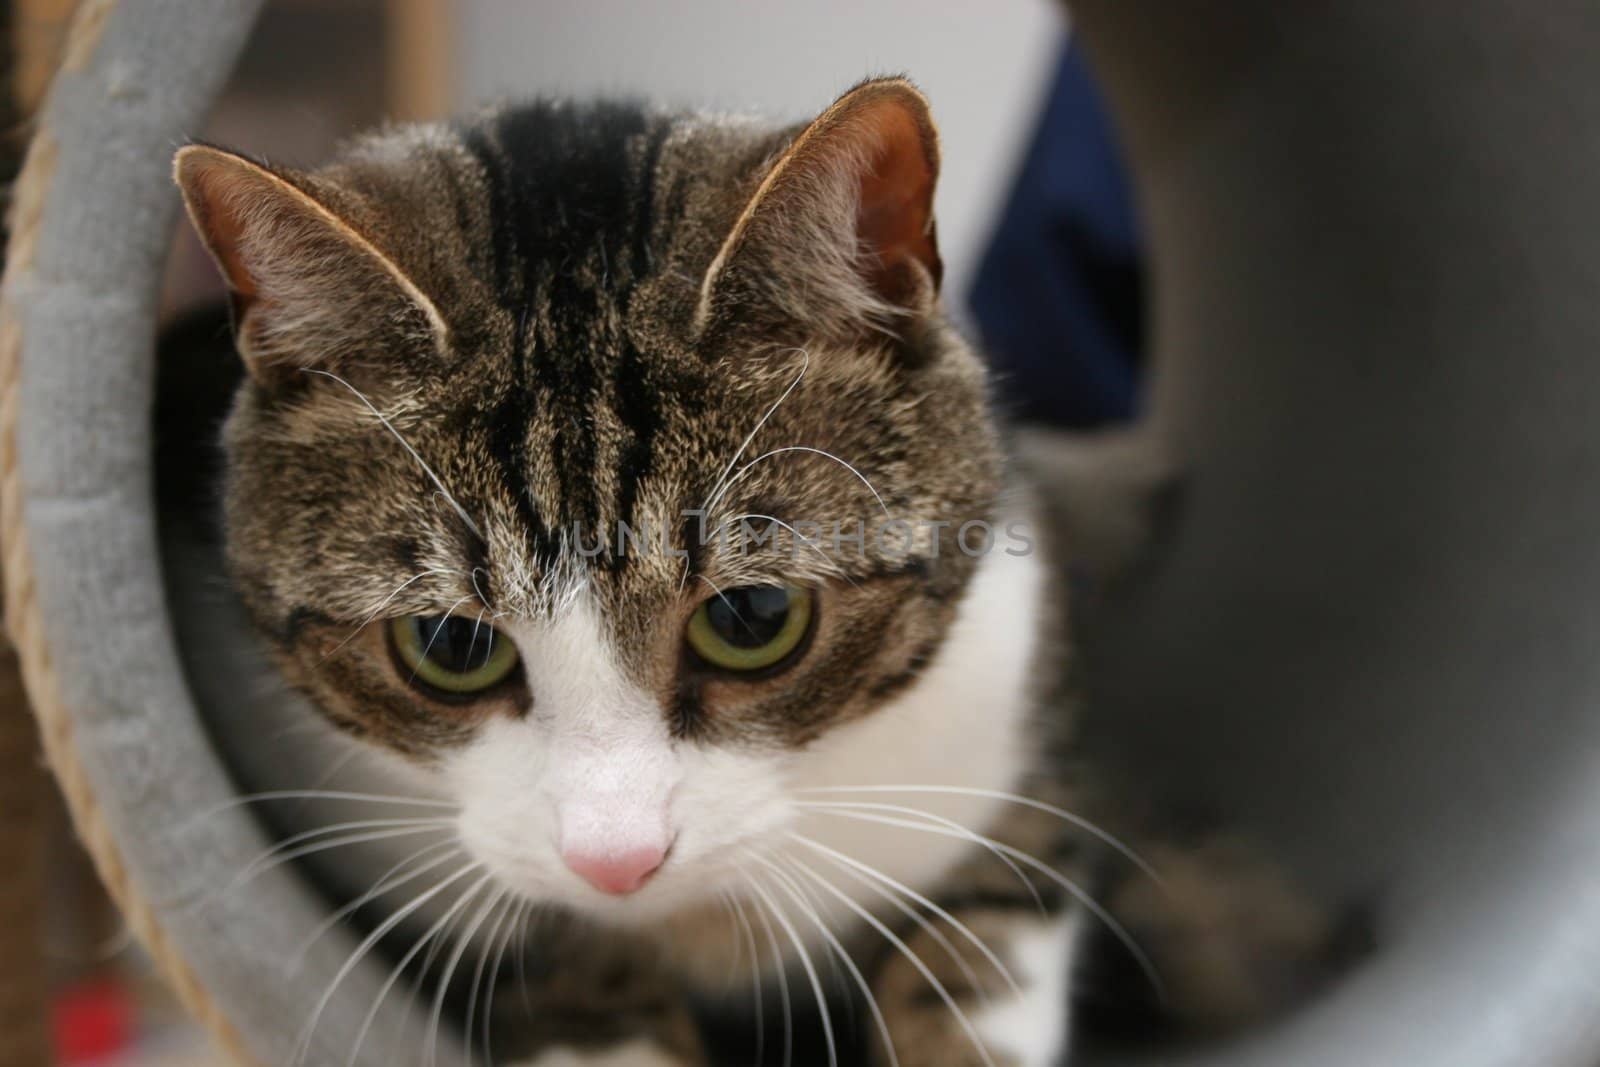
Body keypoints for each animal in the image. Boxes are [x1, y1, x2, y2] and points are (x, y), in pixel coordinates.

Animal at [162, 77, 1337, 1067]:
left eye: (753, 615)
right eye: (450, 644)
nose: (619, 860)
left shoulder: (1015, 729)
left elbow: (980, 944)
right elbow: (547, 948)